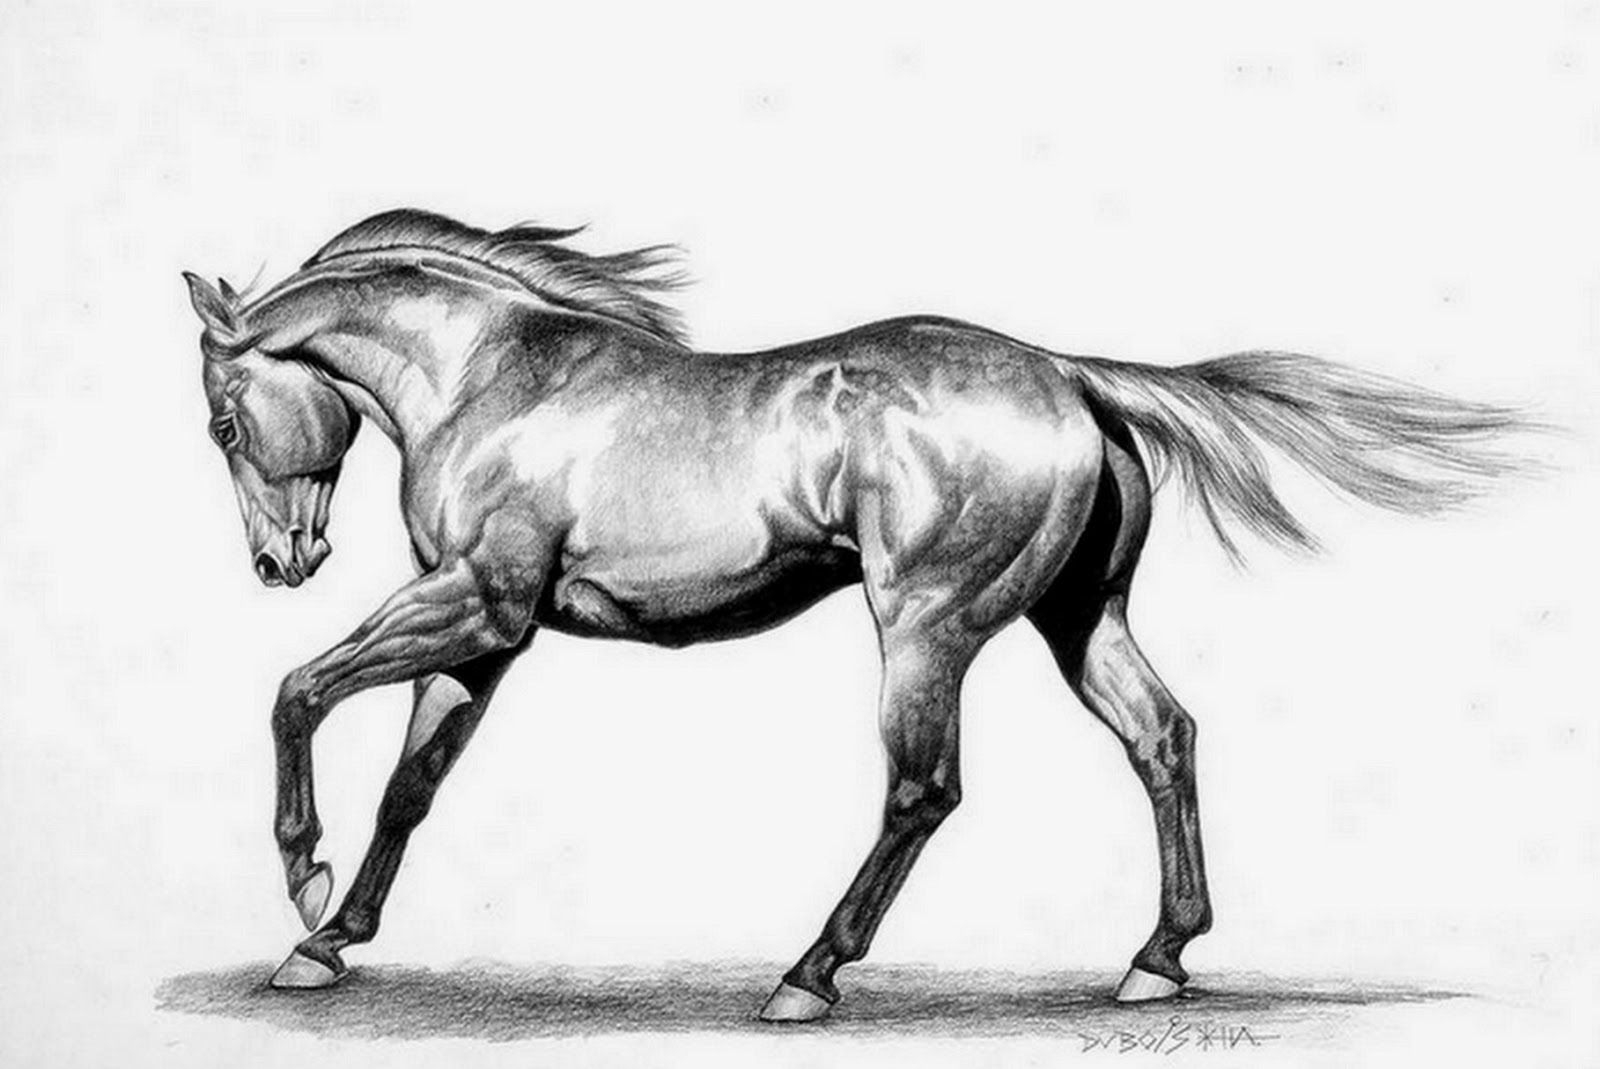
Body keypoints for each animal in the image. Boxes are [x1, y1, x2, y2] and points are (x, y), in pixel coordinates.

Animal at [184, 209, 1527, 1022]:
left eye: (221, 419)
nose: (280, 561)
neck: (494, 377)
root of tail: (1070, 376)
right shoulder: (489, 635)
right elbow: (411, 784)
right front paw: (327, 940)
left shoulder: (472, 601)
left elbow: (297, 691)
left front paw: (301, 880)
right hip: (1077, 621)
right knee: (1162, 735)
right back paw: (1157, 959)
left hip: (926, 628)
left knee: (922, 788)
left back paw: (809, 974)